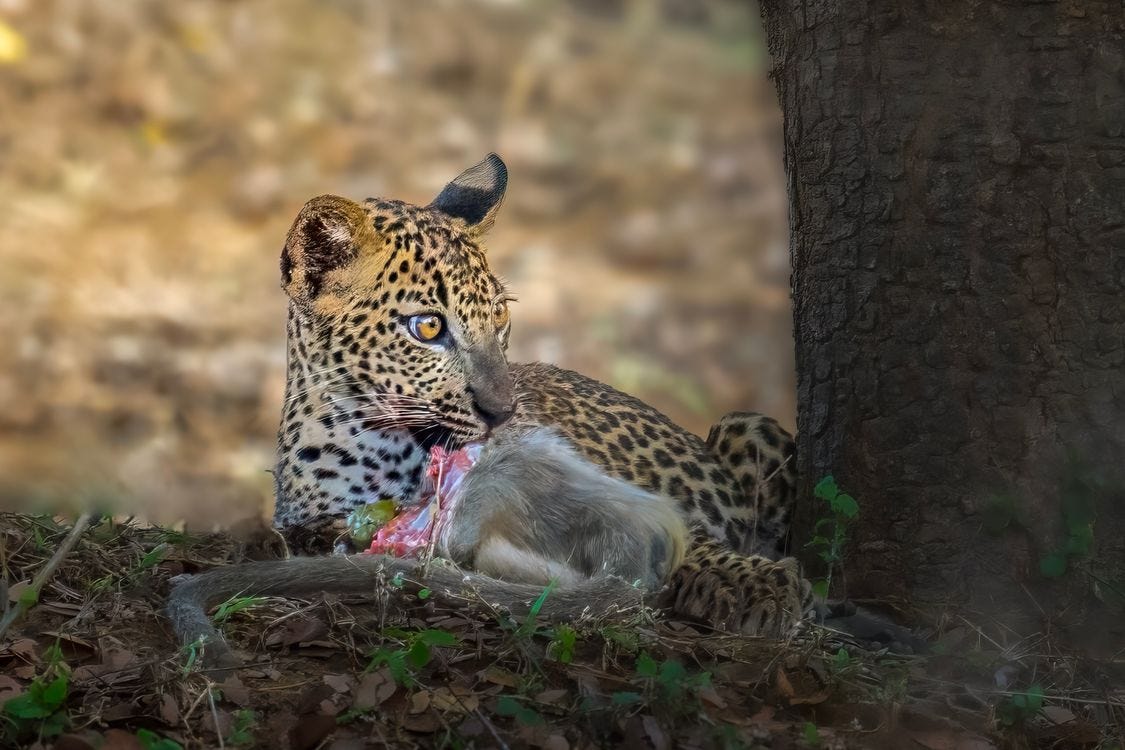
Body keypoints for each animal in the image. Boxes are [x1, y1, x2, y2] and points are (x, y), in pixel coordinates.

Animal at [168, 154, 812, 661]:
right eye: (428, 327)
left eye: (500, 315)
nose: (503, 411)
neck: (384, 445)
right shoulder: (322, 519)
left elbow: (692, 537)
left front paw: (763, 587)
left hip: (745, 423)